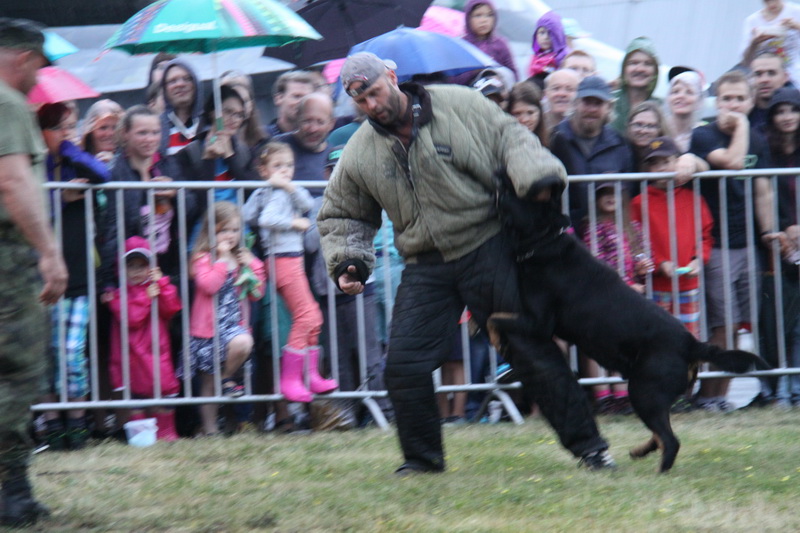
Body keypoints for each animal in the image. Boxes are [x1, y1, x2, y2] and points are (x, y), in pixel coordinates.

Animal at [488, 182, 768, 470]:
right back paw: (639, 452)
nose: (499, 183)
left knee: (669, 439)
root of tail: (691, 344)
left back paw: (659, 471)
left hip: (644, 391)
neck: (546, 241)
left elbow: (494, 317)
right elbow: (495, 316)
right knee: (660, 434)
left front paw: (496, 339)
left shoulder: (538, 321)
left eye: (521, 198)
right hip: (652, 393)